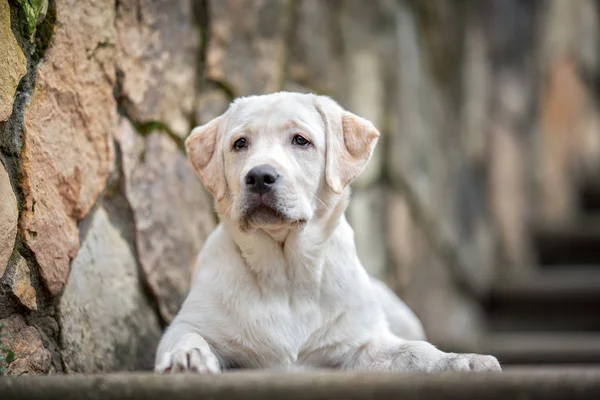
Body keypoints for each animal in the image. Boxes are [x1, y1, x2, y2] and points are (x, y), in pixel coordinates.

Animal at [155, 92, 502, 374]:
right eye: (240, 143)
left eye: (300, 140)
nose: (259, 176)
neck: (287, 275)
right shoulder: (191, 322)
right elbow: (186, 335)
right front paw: (187, 356)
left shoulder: (365, 341)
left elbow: (415, 351)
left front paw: (460, 360)